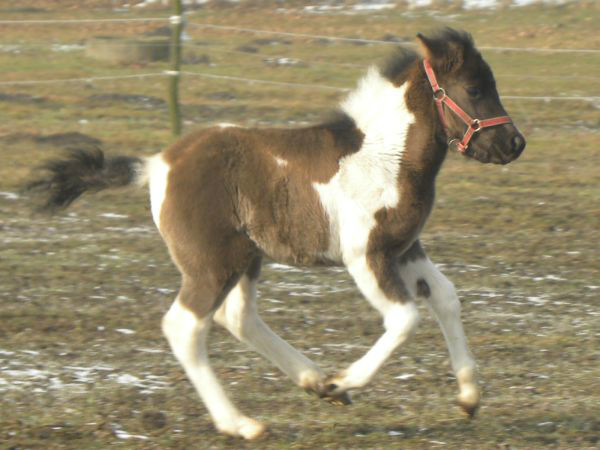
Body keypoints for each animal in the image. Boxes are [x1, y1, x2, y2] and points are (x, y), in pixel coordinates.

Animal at [31, 29, 524, 442]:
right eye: (474, 89)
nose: (514, 144)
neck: (385, 157)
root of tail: (156, 165)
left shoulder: (405, 249)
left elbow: (446, 298)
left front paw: (468, 397)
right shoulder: (365, 255)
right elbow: (405, 319)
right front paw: (344, 381)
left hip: (246, 258)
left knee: (237, 318)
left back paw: (313, 382)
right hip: (213, 264)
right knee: (186, 326)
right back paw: (245, 423)